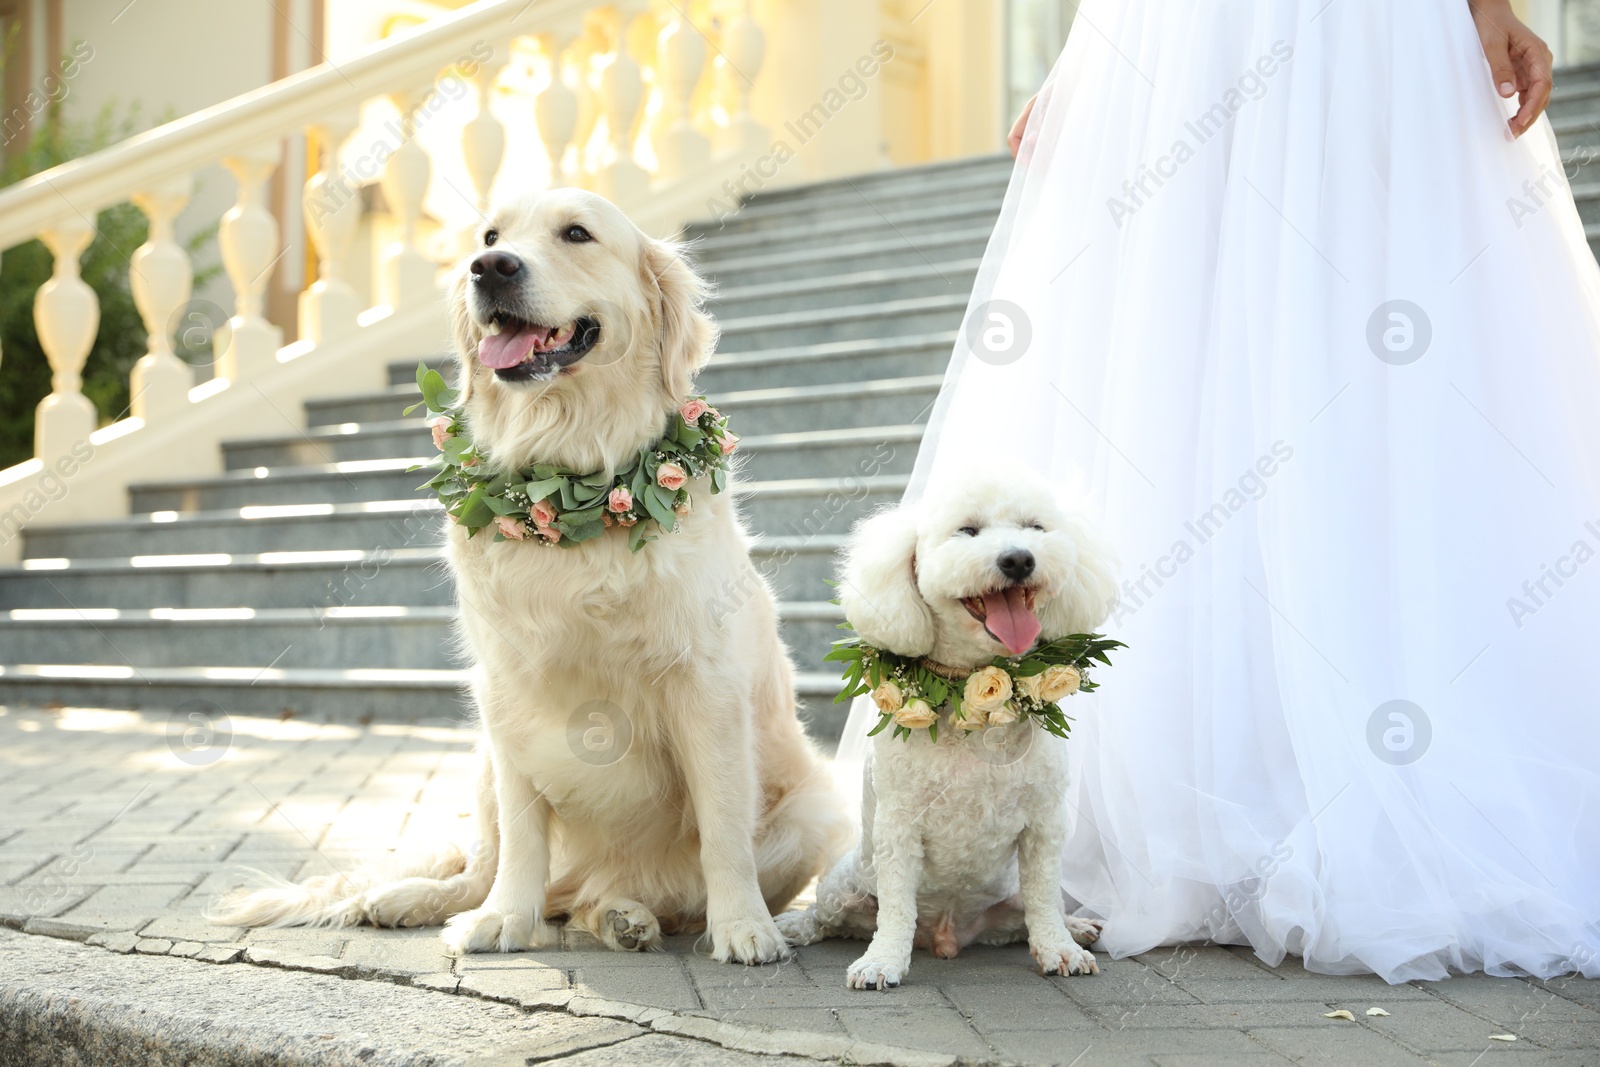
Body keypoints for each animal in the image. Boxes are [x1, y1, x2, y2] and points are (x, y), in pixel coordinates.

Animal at [222, 187, 864, 966]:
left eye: (577, 234)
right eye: (490, 236)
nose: (490, 268)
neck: (570, 484)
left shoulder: (706, 685)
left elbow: (721, 827)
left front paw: (744, 925)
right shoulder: (506, 692)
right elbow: (523, 835)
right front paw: (504, 919)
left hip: (816, 811)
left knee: (624, 894)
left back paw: (625, 915)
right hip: (480, 759)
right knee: (486, 867)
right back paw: (416, 899)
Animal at [780, 476, 1120, 991]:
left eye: (1035, 527)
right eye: (967, 531)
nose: (1018, 559)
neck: (973, 710)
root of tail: (947, 934)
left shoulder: (1044, 824)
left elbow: (1044, 898)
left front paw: (1060, 949)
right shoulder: (898, 826)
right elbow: (896, 907)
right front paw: (883, 961)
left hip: (1006, 896)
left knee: (1026, 914)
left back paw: (1076, 926)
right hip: (844, 885)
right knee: (828, 918)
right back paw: (795, 926)